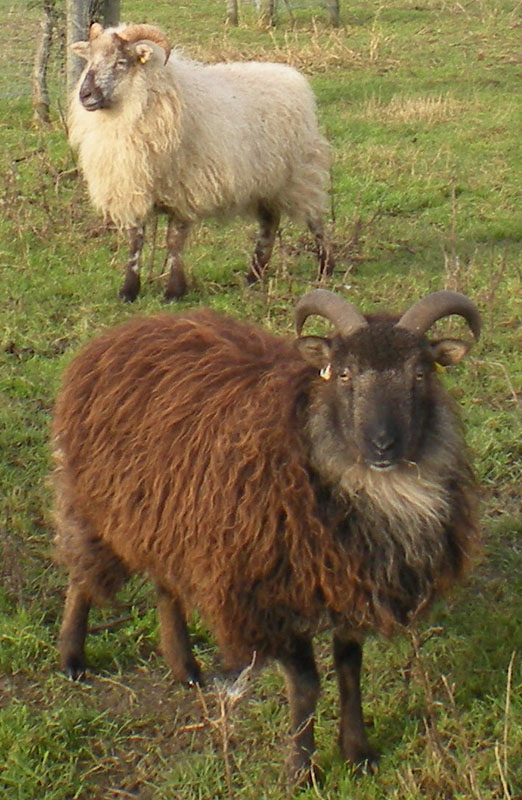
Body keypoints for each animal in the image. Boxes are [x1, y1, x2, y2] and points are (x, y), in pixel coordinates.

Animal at [51, 288, 480, 780]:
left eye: (421, 373)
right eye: (345, 373)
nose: (382, 445)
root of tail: (126, 330)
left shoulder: (347, 581)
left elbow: (350, 670)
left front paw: (358, 753)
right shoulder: (267, 592)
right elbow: (307, 683)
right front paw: (301, 768)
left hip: (166, 513)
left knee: (166, 585)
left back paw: (185, 668)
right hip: (96, 499)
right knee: (80, 573)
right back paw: (72, 659)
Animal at [68, 24, 334, 304]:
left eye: (120, 62)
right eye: (90, 61)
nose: (84, 95)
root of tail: (293, 76)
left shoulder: (185, 191)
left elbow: (174, 241)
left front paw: (173, 292)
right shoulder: (133, 189)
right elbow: (135, 241)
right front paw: (129, 290)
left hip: (300, 173)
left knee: (315, 218)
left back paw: (325, 268)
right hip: (266, 181)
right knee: (269, 226)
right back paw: (254, 275)